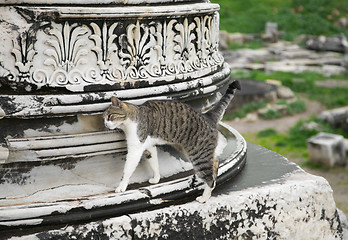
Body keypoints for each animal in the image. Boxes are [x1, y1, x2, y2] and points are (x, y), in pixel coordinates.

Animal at [103, 80, 239, 202]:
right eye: (104, 118)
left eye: (109, 116)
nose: (105, 125)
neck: (132, 119)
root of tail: (207, 116)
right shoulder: (149, 146)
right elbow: (154, 163)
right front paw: (156, 178)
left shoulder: (135, 148)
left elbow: (127, 169)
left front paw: (121, 187)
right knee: (215, 164)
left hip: (198, 155)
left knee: (210, 178)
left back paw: (204, 198)